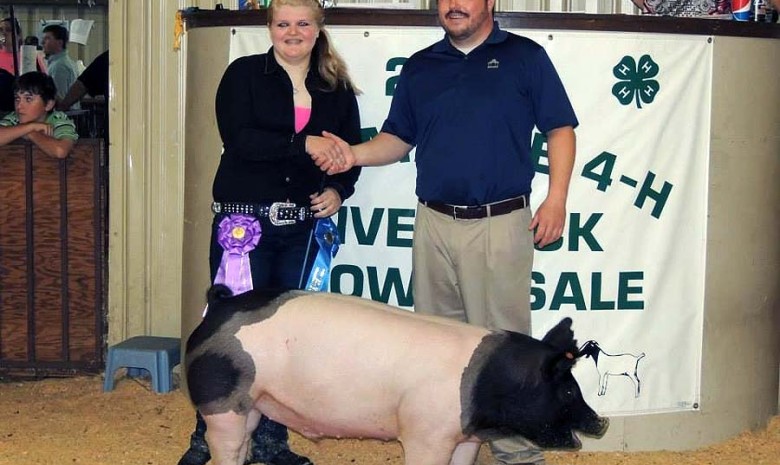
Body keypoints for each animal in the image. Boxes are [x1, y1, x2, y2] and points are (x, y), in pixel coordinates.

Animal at [184, 284, 608, 464]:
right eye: (569, 391)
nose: (601, 421)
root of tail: (217, 307)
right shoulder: (426, 434)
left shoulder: (465, 437)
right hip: (221, 402)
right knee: (225, 446)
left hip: (254, 404)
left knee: (244, 443)